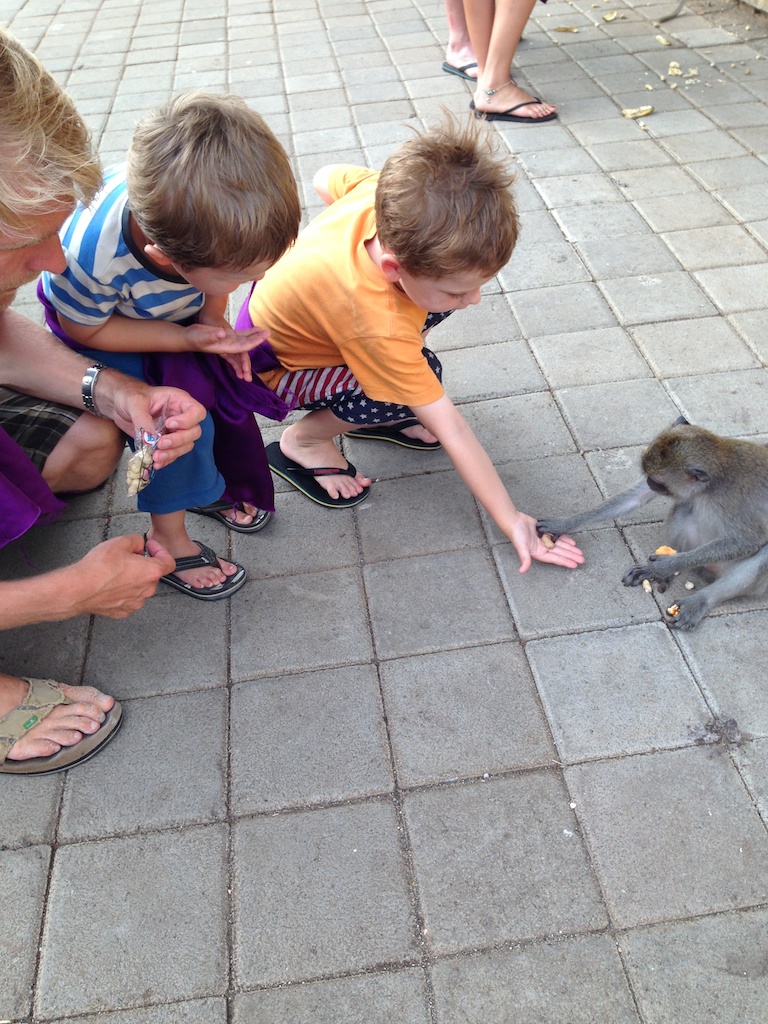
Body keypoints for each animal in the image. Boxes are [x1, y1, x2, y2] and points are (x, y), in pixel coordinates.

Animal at [536, 417, 768, 630]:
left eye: (657, 481)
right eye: (649, 477)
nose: (649, 482)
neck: (713, 482)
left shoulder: (734, 500)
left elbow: (748, 541)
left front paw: (666, 565)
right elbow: (636, 498)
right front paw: (564, 523)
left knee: (762, 554)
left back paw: (699, 599)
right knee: (684, 507)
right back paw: (658, 572)